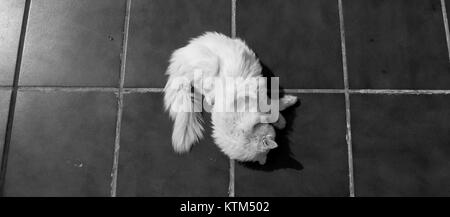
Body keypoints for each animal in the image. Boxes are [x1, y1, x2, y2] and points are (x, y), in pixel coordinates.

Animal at [163, 31, 298, 164]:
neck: (238, 124)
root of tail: (179, 55)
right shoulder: (259, 103)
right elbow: (273, 108)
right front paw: (282, 119)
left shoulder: (260, 97)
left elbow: (273, 106)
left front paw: (281, 117)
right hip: (210, 65)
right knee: (203, 89)